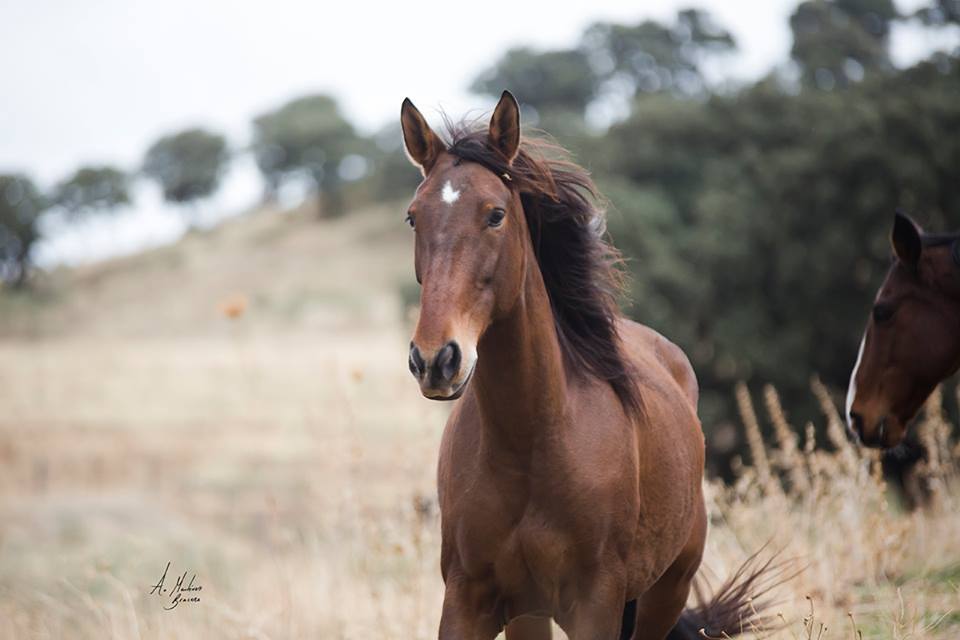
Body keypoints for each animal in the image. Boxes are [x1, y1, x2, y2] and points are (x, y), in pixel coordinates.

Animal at [402, 91, 776, 640]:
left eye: (495, 214)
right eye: (414, 217)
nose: (435, 360)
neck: (531, 441)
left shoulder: (594, 604)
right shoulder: (471, 599)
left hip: (665, 593)